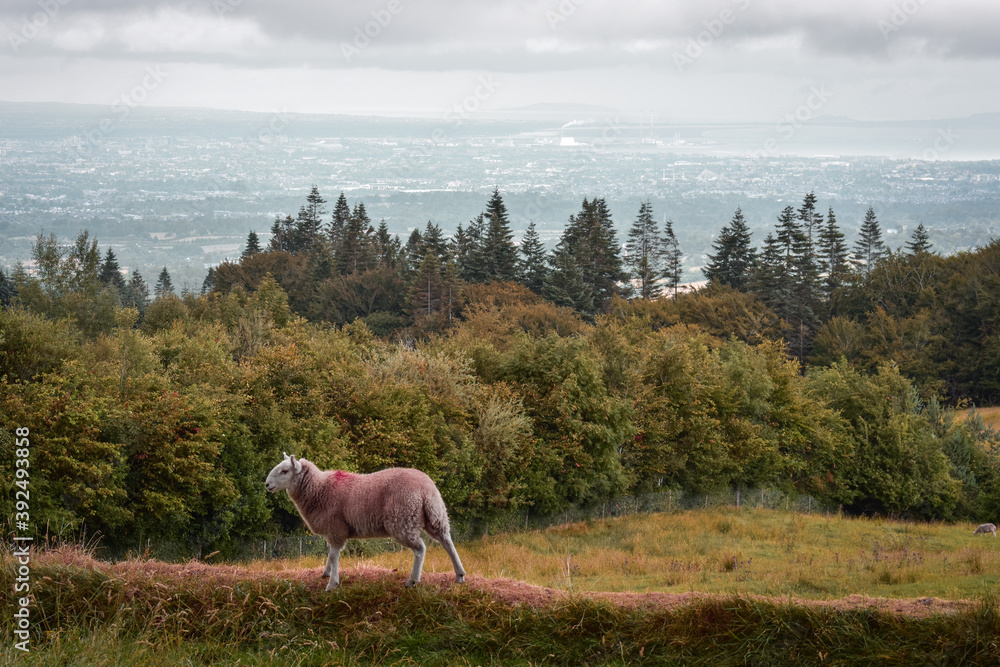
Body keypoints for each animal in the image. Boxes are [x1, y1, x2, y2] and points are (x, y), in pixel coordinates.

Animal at [266, 454, 468, 588]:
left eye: (284, 471)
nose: (267, 484)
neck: (319, 489)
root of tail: (426, 489)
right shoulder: (332, 530)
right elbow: (330, 553)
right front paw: (326, 573)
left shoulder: (336, 528)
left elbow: (334, 554)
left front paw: (332, 583)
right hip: (436, 515)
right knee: (447, 542)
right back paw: (459, 575)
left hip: (402, 519)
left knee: (420, 549)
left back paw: (412, 580)